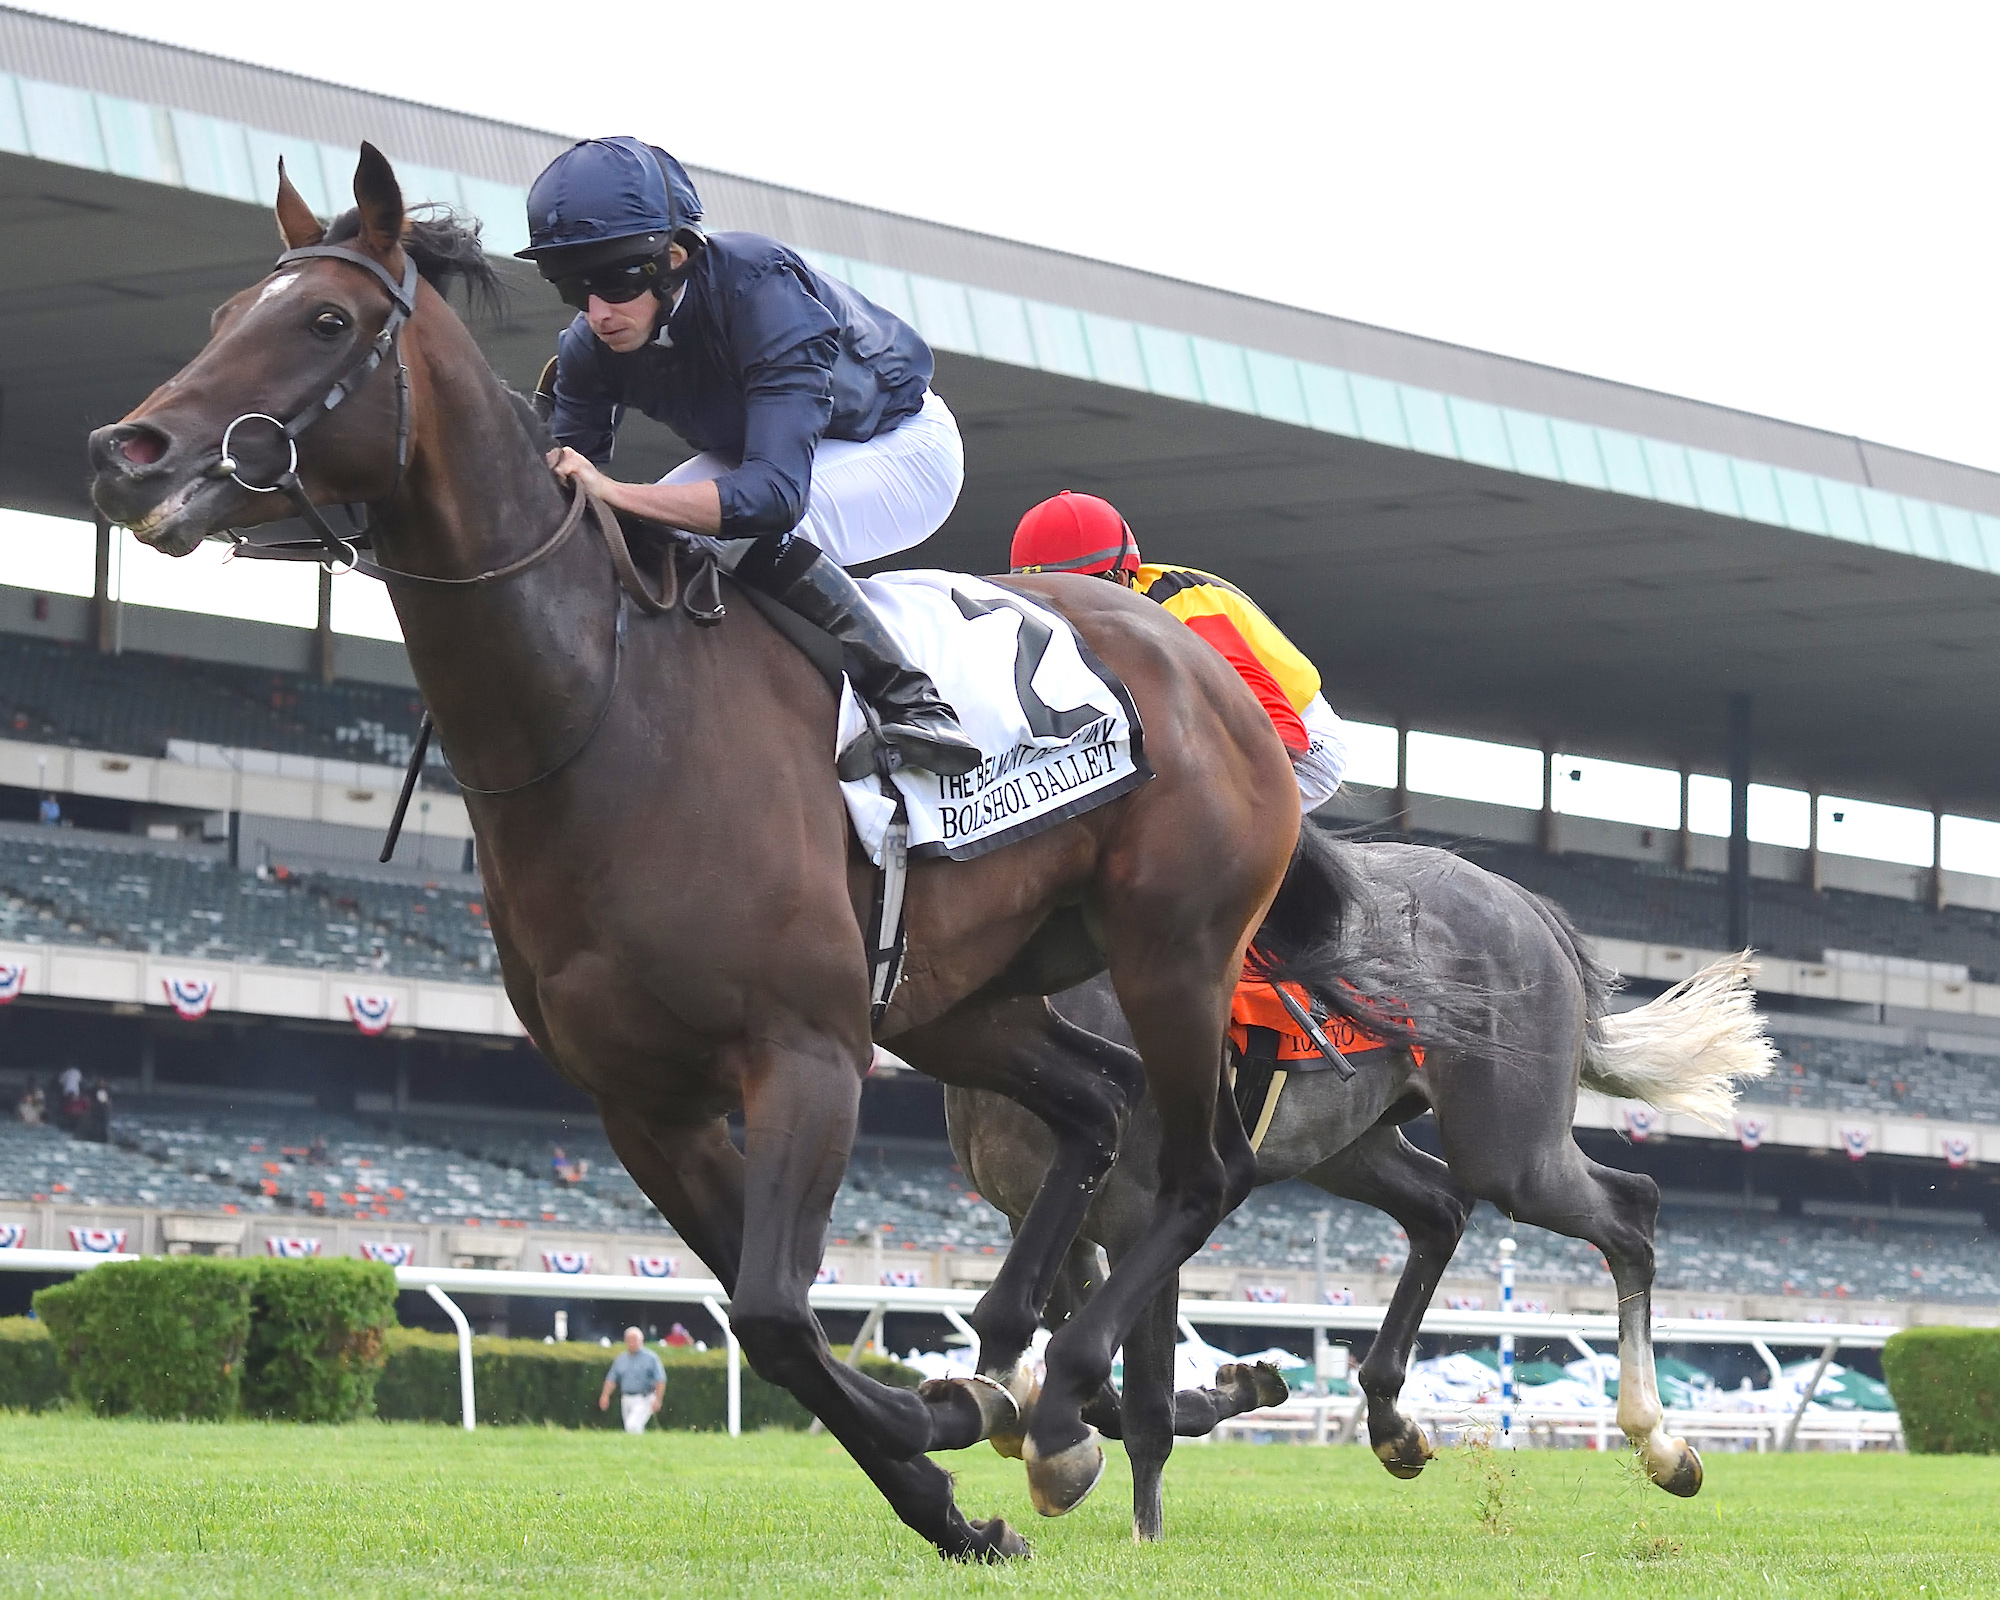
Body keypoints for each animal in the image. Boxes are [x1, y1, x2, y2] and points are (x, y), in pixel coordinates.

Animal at [944, 836, 1776, 1536]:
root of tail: (1526, 903)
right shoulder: (1046, 1214)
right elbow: (1092, 1378)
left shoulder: (1144, 1205)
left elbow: (1140, 1392)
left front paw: (1147, 1522)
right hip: (1352, 1147)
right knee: (1441, 1208)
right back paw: (1392, 1423)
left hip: (1512, 1149)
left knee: (1629, 1208)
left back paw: (1658, 1443)